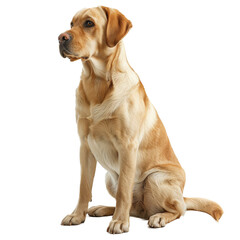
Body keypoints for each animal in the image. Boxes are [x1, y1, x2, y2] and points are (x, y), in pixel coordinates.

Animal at [58, 6, 223, 234]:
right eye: (71, 23)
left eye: (89, 23)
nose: (60, 37)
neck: (97, 82)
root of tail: (183, 195)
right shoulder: (85, 146)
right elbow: (84, 186)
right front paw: (77, 215)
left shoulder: (127, 146)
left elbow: (124, 192)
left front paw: (120, 222)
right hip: (109, 177)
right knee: (136, 209)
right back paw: (102, 209)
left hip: (156, 178)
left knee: (178, 210)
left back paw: (159, 217)